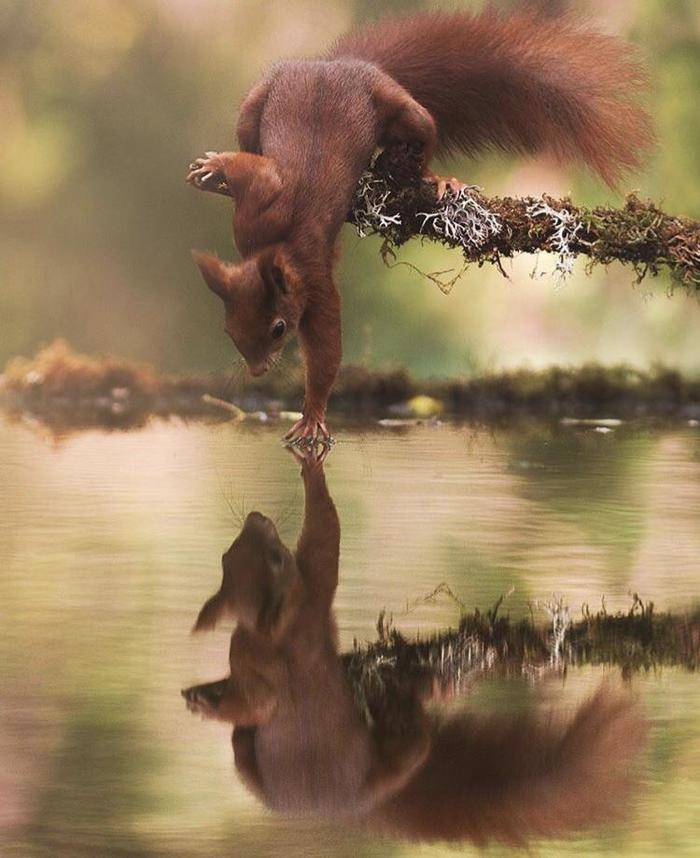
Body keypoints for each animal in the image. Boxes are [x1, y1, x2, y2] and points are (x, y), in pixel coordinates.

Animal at [183, 448, 648, 844]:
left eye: (230, 555)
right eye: (273, 558)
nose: (256, 517)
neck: (269, 633)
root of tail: (356, 810)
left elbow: (255, 701)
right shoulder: (311, 599)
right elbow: (325, 537)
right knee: (412, 740)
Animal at [186, 5, 652, 434]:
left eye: (279, 328)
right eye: (228, 330)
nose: (258, 371)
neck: (275, 247)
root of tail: (341, 63)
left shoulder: (314, 283)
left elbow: (327, 352)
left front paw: (313, 417)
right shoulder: (253, 218)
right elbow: (256, 171)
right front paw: (215, 166)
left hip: (397, 106)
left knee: (422, 134)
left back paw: (436, 178)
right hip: (257, 101)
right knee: (249, 132)